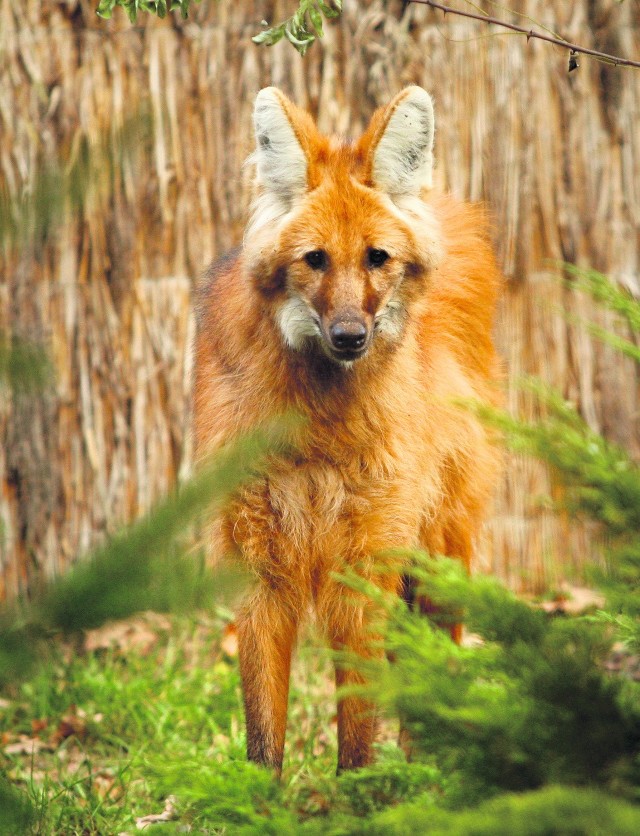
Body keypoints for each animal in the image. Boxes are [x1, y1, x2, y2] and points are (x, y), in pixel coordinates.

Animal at [192, 88, 502, 772]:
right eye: (315, 260)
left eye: (376, 258)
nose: (350, 337)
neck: (317, 423)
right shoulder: (260, 563)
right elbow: (263, 734)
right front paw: (257, 797)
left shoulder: (363, 558)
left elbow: (358, 723)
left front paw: (359, 791)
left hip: (438, 547)